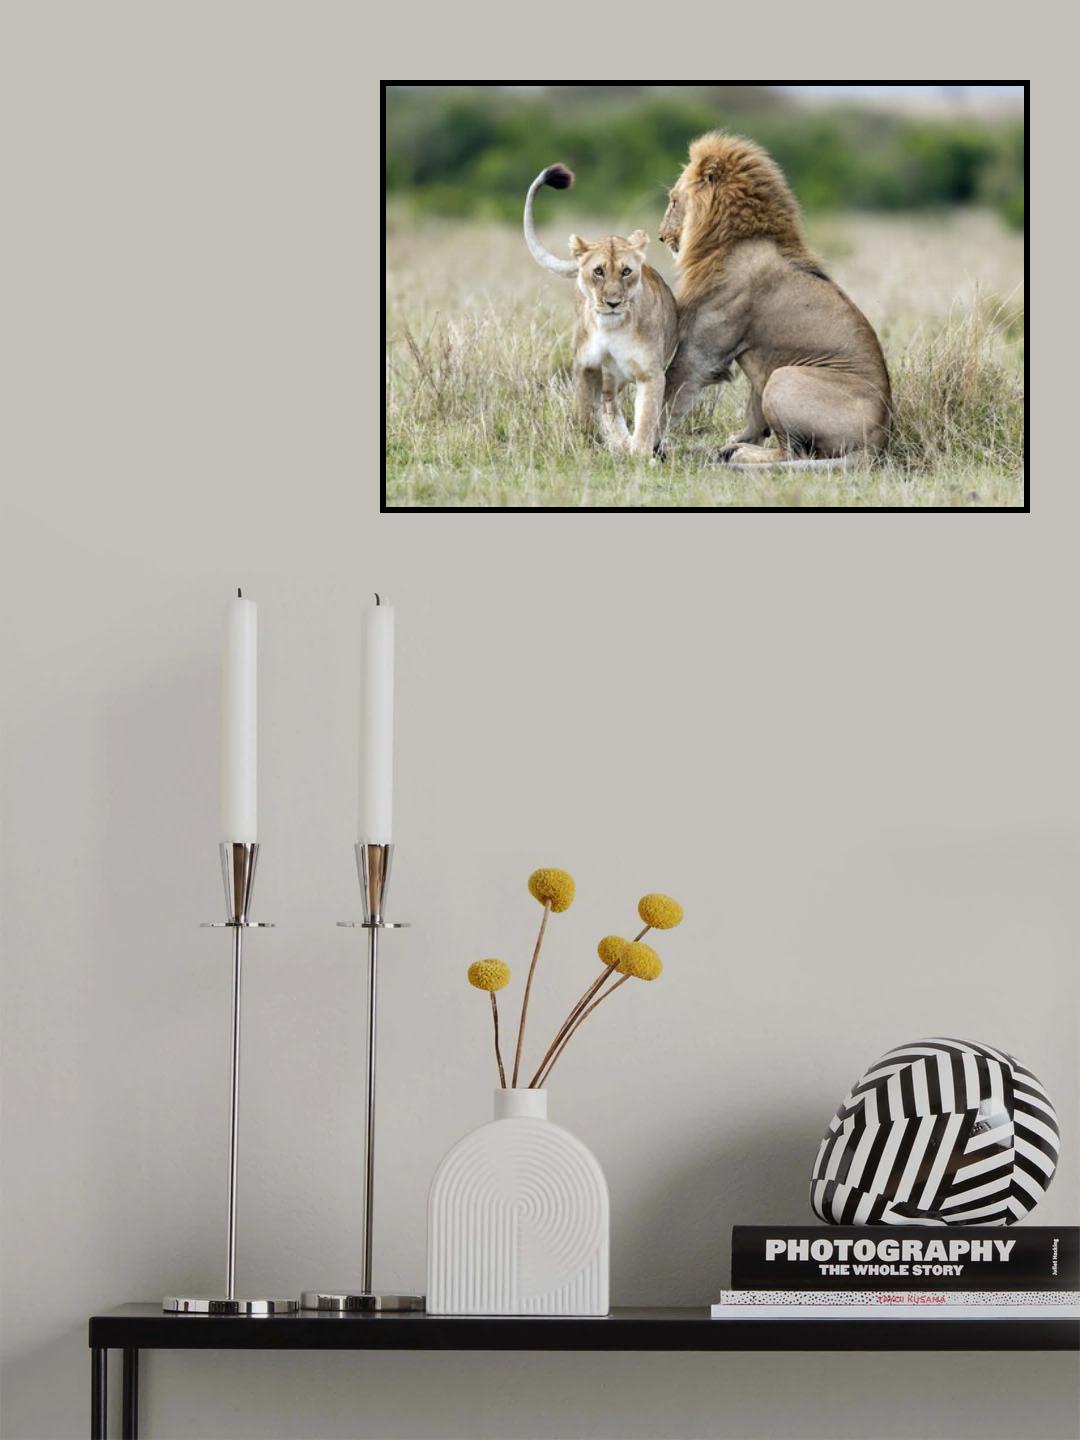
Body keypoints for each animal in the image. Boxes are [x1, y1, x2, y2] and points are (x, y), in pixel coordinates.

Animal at [524, 164, 678, 459]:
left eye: (626, 271)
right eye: (598, 271)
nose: (613, 302)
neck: (612, 329)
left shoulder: (650, 374)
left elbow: (646, 419)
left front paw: (640, 455)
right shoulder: (586, 365)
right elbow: (586, 411)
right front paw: (587, 444)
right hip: (607, 376)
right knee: (608, 406)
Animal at [658, 133, 891, 466]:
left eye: (674, 200)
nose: (661, 236)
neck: (731, 239)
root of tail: (879, 443)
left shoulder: (700, 351)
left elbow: (668, 394)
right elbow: (751, 417)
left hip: (784, 377)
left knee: (790, 452)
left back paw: (739, 455)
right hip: (774, 376)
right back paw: (724, 449)